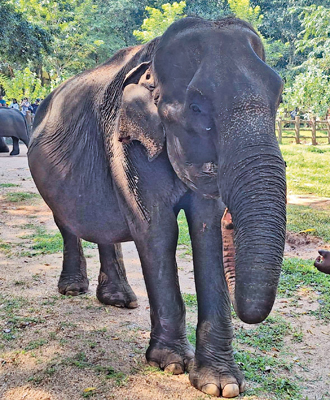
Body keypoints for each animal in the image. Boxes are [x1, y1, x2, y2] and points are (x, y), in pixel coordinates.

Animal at [27, 17, 286, 398]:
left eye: (279, 98)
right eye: (196, 108)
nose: (232, 223)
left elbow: (205, 229)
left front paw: (220, 384)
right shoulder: (129, 141)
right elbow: (157, 230)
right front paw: (171, 364)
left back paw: (119, 299)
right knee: (65, 221)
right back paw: (74, 290)